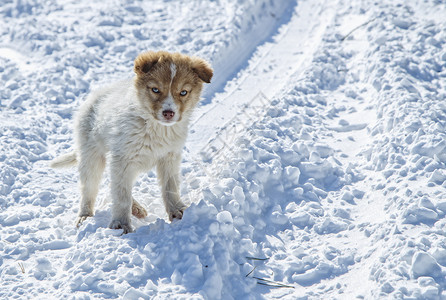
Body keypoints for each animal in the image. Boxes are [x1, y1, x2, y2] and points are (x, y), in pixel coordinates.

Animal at [49, 50, 213, 233]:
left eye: (183, 92)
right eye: (155, 90)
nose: (168, 113)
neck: (156, 127)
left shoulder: (169, 157)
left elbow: (170, 187)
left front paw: (177, 210)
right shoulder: (123, 159)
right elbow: (122, 196)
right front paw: (121, 225)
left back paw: (136, 209)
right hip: (91, 156)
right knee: (90, 189)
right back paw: (85, 217)